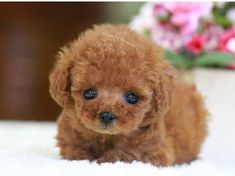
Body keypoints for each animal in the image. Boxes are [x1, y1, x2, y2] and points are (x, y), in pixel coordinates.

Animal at [48, 24, 207, 166]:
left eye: (132, 97)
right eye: (89, 93)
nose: (107, 116)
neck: (108, 137)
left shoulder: (155, 151)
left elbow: (130, 152)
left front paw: (109, 158)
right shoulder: (69, 136)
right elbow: (74, 149)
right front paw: (81, 156)